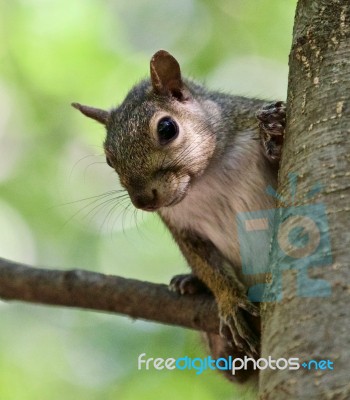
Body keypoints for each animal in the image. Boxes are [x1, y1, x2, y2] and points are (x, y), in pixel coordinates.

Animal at [72, 50, 286, 384]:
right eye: (108, 158)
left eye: (167, 128)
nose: (143, 201)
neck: (207, 177)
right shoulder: (181, 225)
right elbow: (205, 263)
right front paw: (229, 301)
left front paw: (274, 137)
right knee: (234, 372)